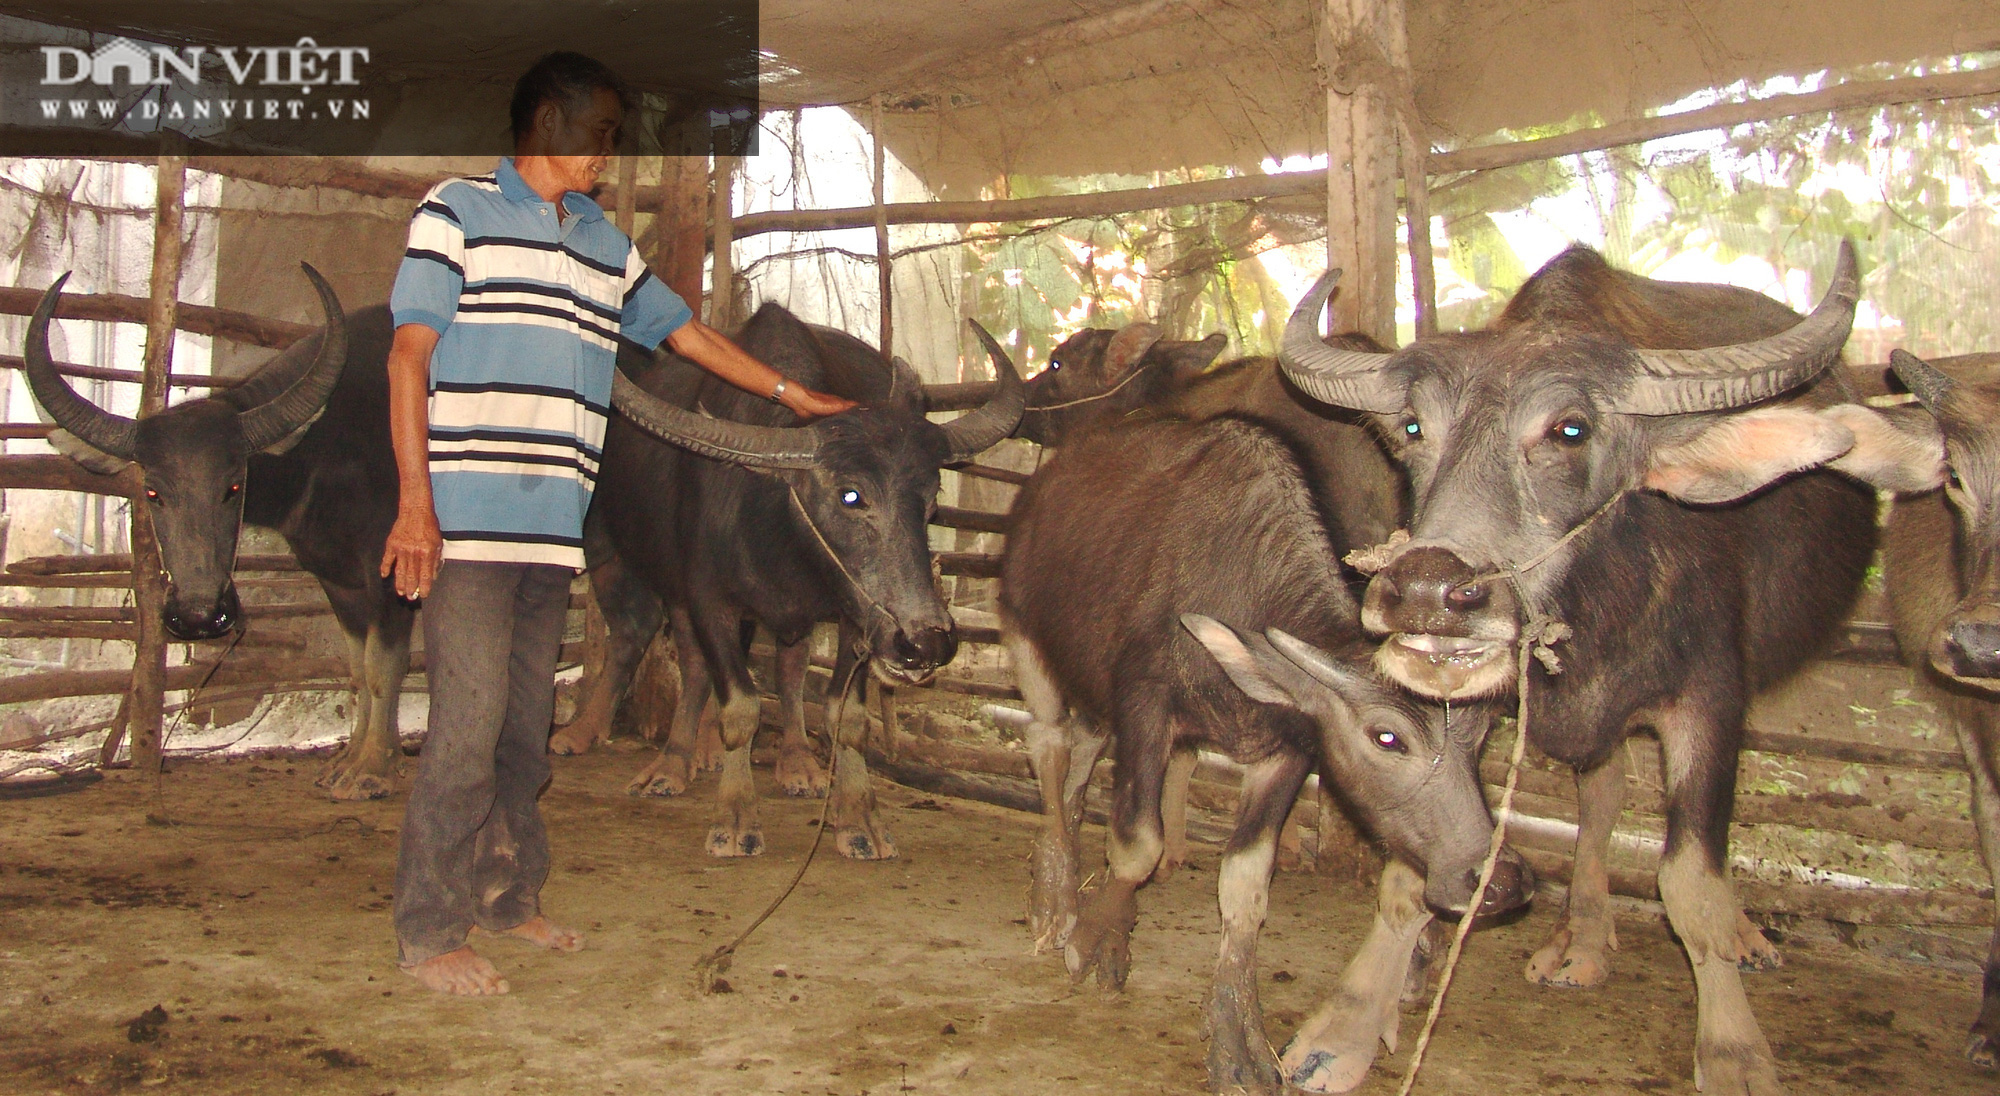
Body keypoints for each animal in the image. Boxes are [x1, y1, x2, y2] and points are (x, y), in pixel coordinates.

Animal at [25, 268, 420, 796]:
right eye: (153, 491)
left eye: (232, 485)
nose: (198, 615)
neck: (326, 452)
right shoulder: (340, 583)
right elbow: (357, 670)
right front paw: (352, 759)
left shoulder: (391, 579)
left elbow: (383, 668)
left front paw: (375, 769)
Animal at [572, 304, 1024, 860]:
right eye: (852, 496)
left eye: (931, 500)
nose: (927, 642)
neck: (775, 528)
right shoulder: (708, 598)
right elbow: (740, 706)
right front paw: (735, 817)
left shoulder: (859, 617)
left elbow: (846, 716)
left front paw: (859, 819)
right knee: (688, 661)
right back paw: (671, 763)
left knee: (789, 669)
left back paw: (795, 763)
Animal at [1280, 248, 1872, 1096]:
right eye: (1416, 428)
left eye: (1569, 429)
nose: (1427, 591)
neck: (1595, 609)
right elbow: (1411, 865)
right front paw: (1346, 1027)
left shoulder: (1711, 700)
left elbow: (1690, 881)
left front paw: (1734, 1052)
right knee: (1604, 791)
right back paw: (1583, 939)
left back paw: (1740, 936)